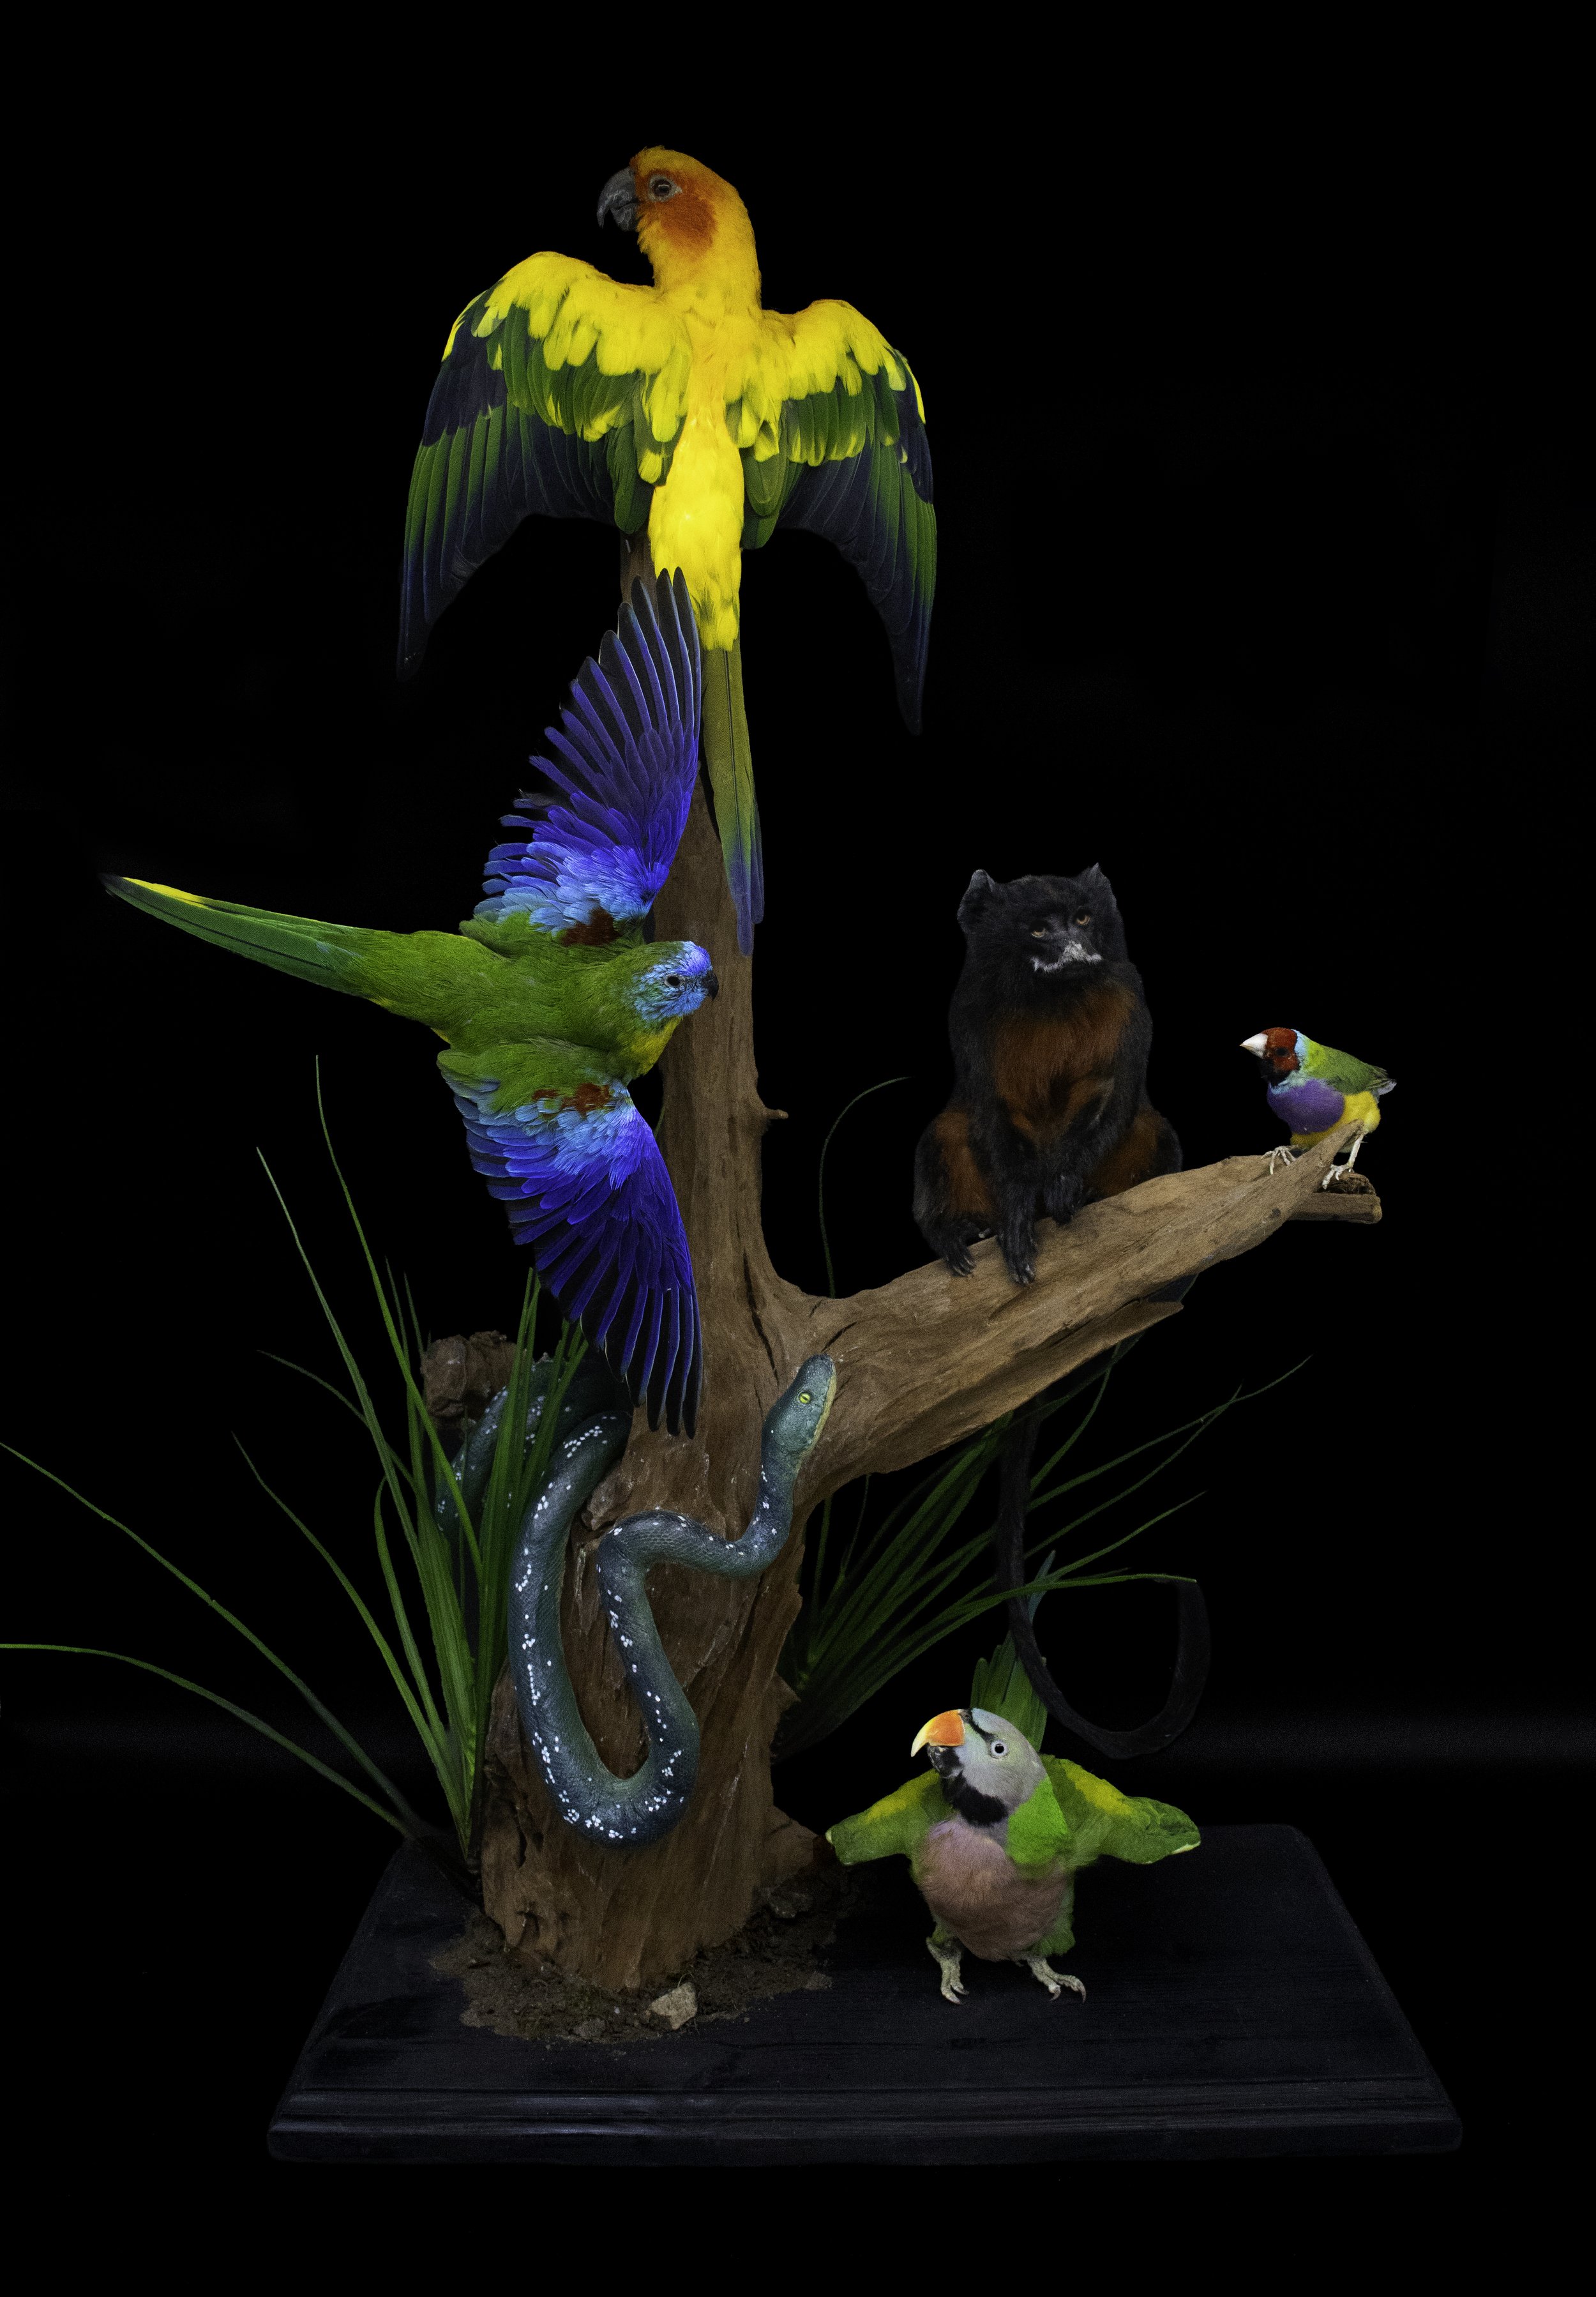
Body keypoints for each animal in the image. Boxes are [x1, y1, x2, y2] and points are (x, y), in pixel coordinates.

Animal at [913, 865, 1181, 1286]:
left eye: (1082, 919)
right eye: (1039, 930)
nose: (1075, 946)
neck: (1051, 998)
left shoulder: (1128, 995)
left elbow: (1110, 1089)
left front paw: (1064, 1185)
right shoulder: (970, 1009)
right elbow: (996, 1108)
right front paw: (1018, 1216)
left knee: (1158, 1133)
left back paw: (1090, 1197)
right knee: (943, 1132)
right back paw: (958, 1234)